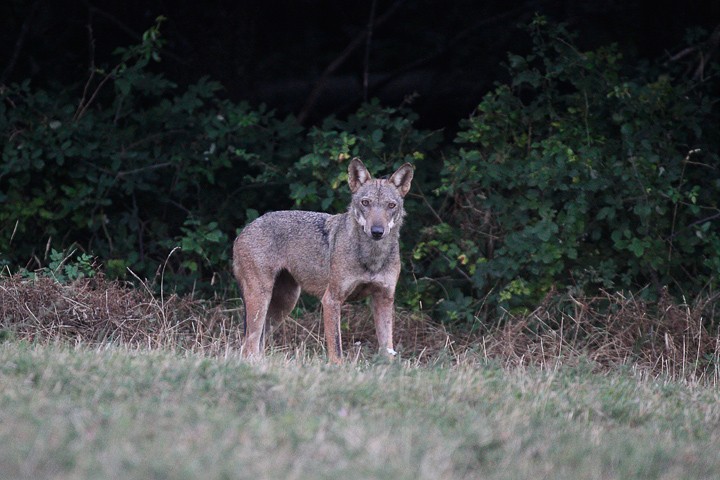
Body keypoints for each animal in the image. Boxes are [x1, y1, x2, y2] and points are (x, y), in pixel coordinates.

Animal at [233, 158, 414, 364]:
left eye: (391, 205)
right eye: (365, 203)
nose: (377, 231)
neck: (372, 258)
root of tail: (243, 230)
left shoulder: (384, 298)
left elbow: (388, 348)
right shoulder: (331, 300)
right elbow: (336, 348)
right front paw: (338, 369)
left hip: (284, 303)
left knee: (254, 343)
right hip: (262, 301)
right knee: (249, 345)